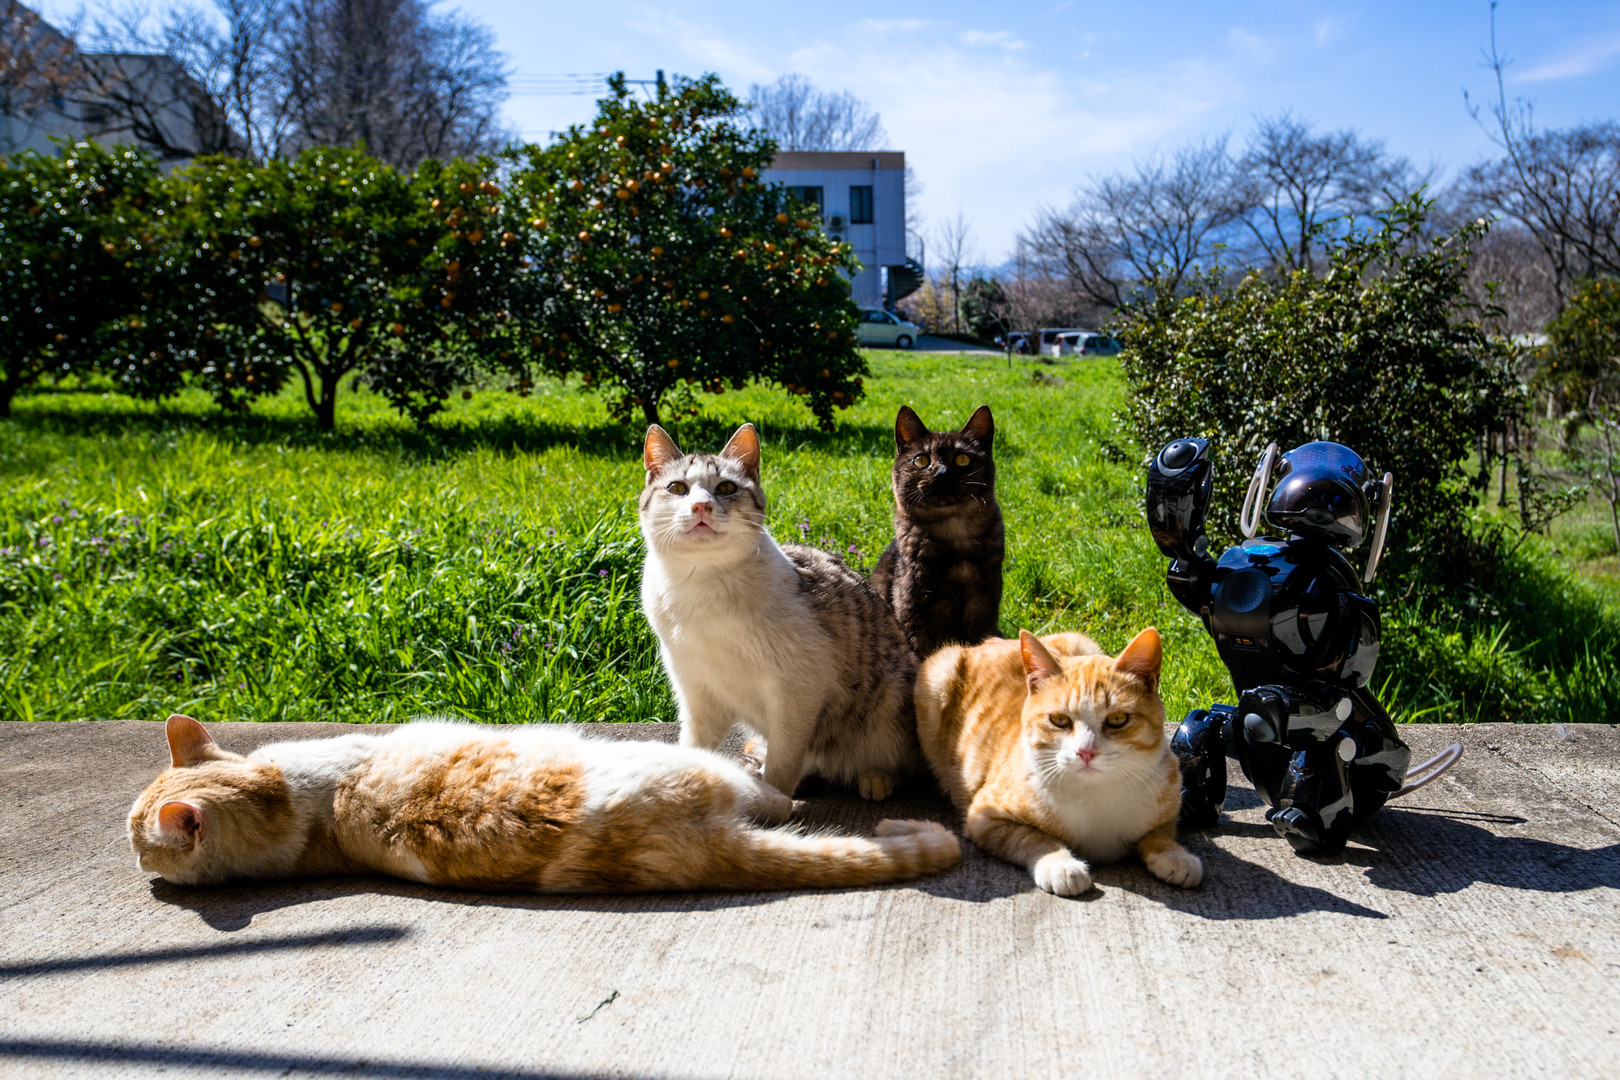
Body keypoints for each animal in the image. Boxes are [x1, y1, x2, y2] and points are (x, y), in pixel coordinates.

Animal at [638, 422, 920, 802]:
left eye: (726, 488)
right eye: (676, 488)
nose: (700, 506)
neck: (701, 586)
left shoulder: (798, 690)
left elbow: (784, 762)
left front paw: (773, 801)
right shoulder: (697, 693)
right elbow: (695, 749)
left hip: (891, 699)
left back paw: (876, 777)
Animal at [914, 627, 1202, 896]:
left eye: (1118, 719)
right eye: (1059, 720)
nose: (1086, 752)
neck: (1096, 794)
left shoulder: (1168, 797)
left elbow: (1160, 832)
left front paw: (1174, 855)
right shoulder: (984, 817)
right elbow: (1033, 838)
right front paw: (1061, 865)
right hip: (936, 676)